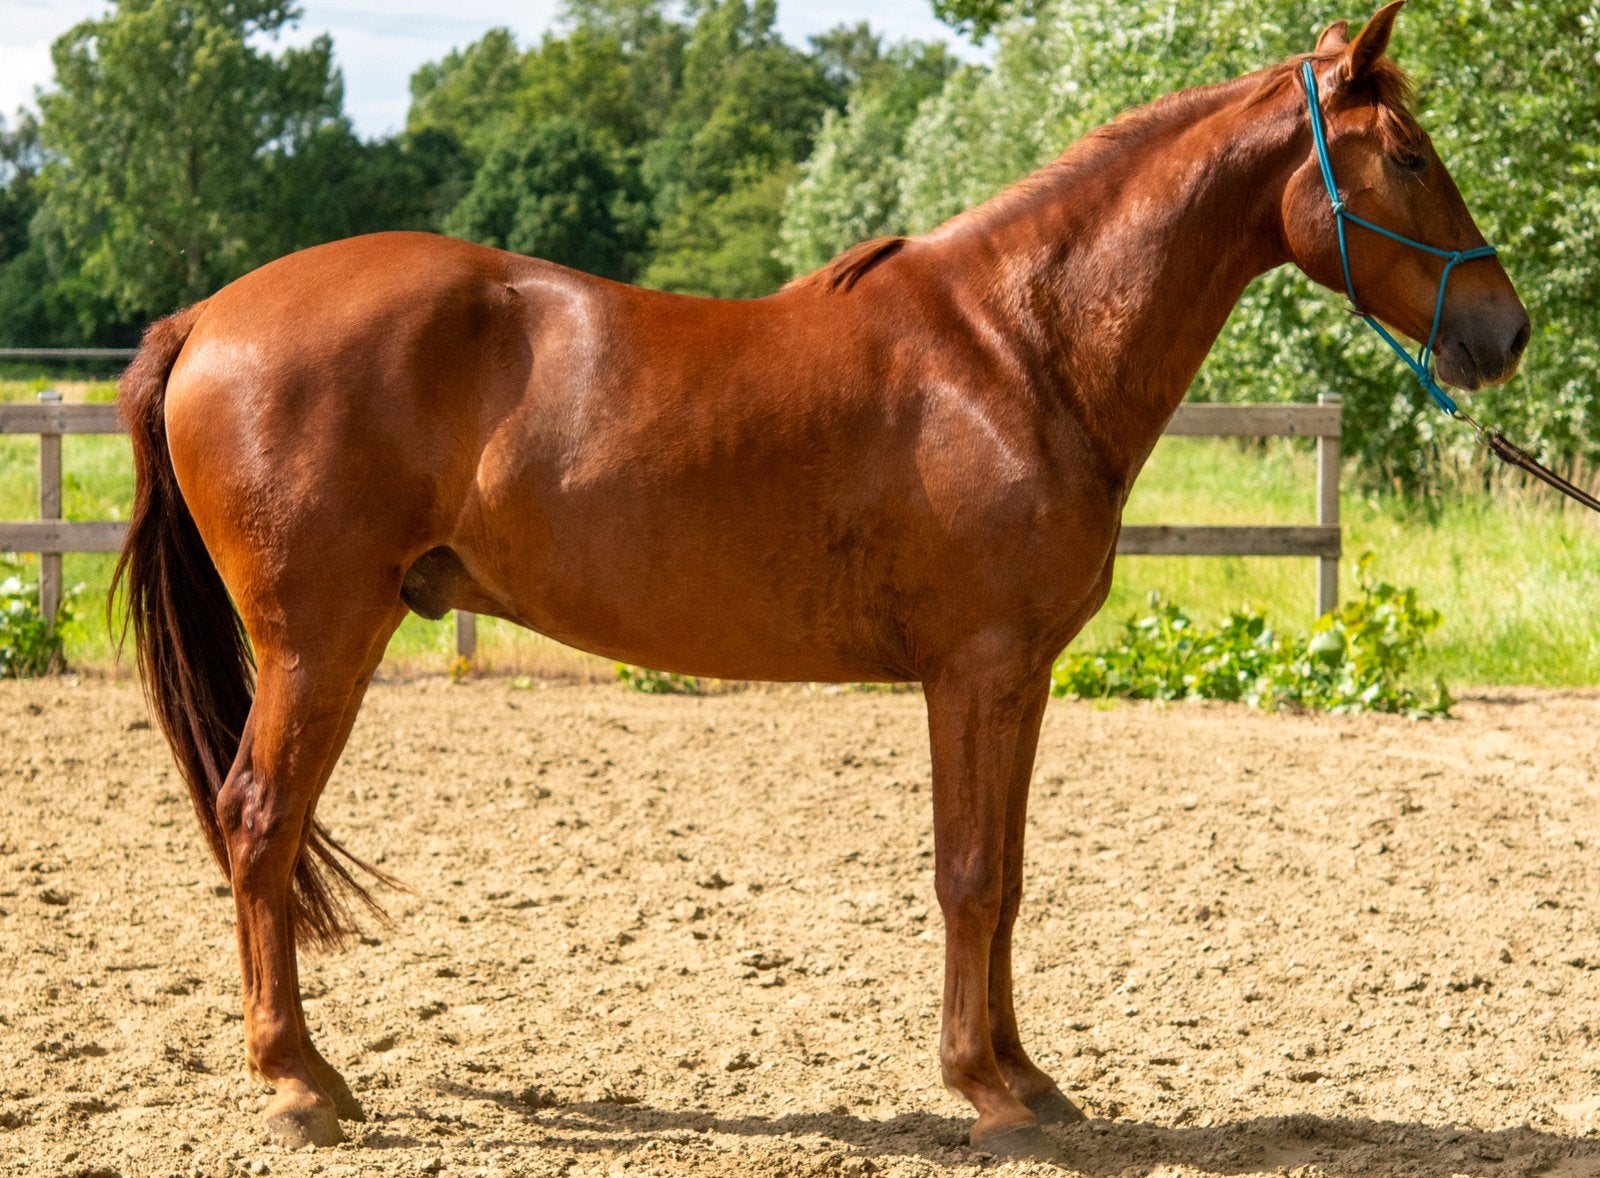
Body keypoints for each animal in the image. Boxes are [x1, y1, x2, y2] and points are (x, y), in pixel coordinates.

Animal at [113, 2, 1527, 1161]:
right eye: (1408, 157)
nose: (1503, 332)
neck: (1017, 345)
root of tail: (211, 318)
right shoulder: (971, 669)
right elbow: (968, 873)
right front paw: (988, 1095)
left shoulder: (1020, 679)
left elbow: (1010, 876)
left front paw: (1028, 1076)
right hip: (318, 640)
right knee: (258, 820)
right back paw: (300, 1084)